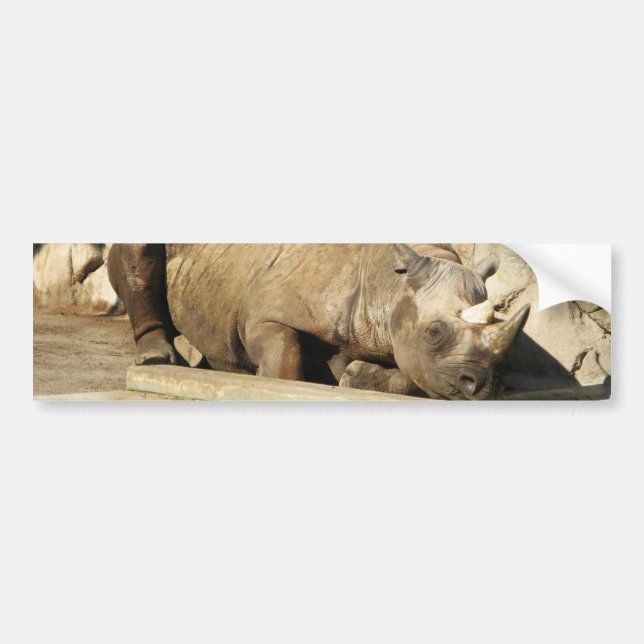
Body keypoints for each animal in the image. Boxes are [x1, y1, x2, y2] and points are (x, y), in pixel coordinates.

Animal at [107, 243, 530, 399]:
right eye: (435, 332)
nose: (483, 386)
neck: (391, 286)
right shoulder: (264, 313)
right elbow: (284, 357)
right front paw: (266, 380)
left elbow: (414, 375)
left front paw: (354, 377)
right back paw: (156, 358)